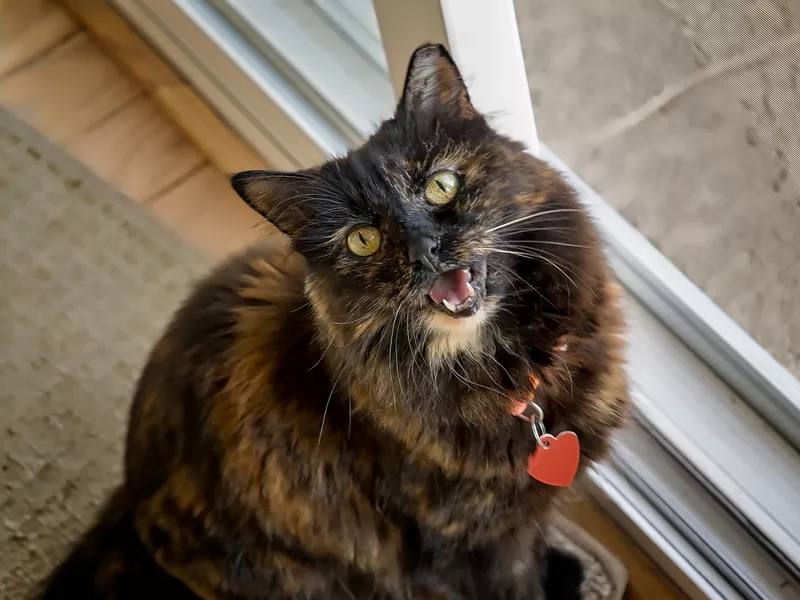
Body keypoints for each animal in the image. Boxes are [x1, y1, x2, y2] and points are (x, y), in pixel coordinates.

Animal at [37, 45, 628, 600]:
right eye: (362, 239)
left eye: (441, 185)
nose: (423, 247)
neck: (508, 371)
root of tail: (129, 499)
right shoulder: (465, 549)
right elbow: (517, 581)